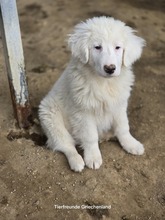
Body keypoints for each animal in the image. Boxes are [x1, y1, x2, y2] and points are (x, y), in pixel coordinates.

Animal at [39, 16, 145, 172]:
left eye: (117, 47)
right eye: (97, 47)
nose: (110, 68)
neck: (104, 83)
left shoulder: (119, 105)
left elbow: (123, 127)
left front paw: (131, 144)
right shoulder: (83, 112)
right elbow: (90, 137)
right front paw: (93, 158)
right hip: (51, 118)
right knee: (66, 145)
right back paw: (77, 161)